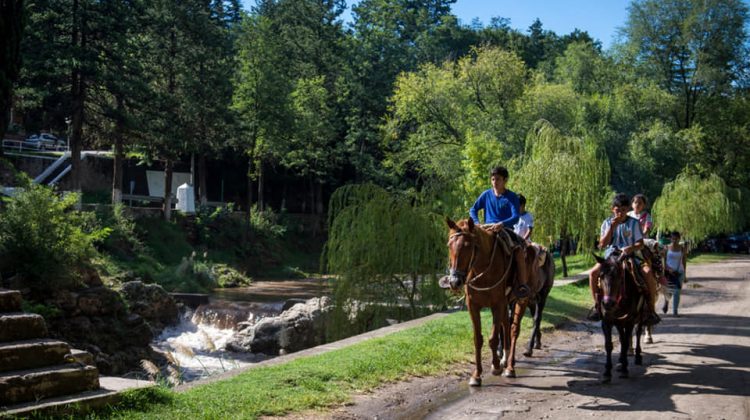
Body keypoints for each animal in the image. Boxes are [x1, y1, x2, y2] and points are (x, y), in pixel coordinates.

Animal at [446, 218, 536, 386]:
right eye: (449, 245)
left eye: (468, 246)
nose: (455, 281)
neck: (483, 270)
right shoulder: (473, 306)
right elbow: (478, 339)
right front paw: (476, 375)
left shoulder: (497, 305)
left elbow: (493, 338)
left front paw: (495, 366)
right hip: (506, 303)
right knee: (506, 325)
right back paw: (505, 358)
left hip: (521, 300)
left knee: (513, 330)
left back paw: (510, 367)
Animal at [596, 251, 648, 382]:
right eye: (601, 276)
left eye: (619, 277)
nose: (607, 303)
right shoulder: (607, 321)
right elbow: (609, 345)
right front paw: (607, 372)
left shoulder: (630, 321)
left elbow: (625, 343)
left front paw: (625, 369)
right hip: (619, 321)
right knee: (621, 336)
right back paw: (620, 360)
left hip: (640, 315)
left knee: (637, 332)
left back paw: (637, 356)